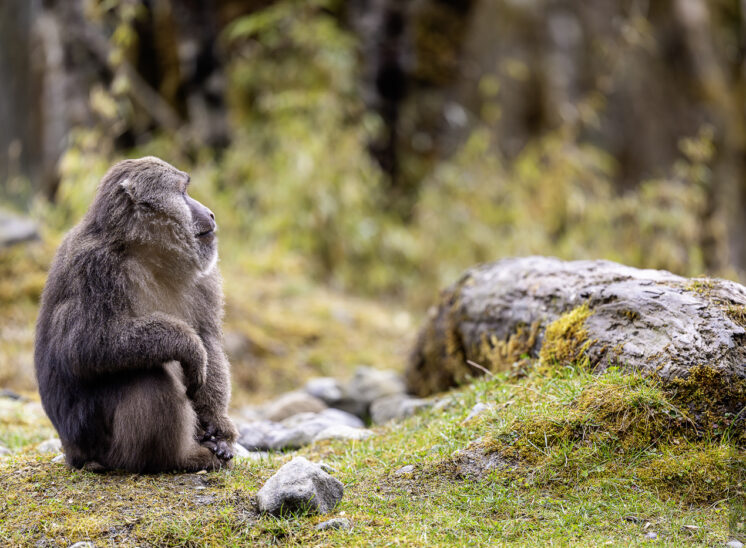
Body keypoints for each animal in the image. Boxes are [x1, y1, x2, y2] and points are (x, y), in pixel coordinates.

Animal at [34, 156, 238, 473]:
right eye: (183, 192)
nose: (210, 213)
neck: (147, 256)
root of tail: (74, 454)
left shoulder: (205, 278)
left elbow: (209, 340)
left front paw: (218, 426)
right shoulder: (95, 267)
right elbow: (84, 347)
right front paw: (188, 346)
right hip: (101, 442)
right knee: (149, 377)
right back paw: (179, 459)